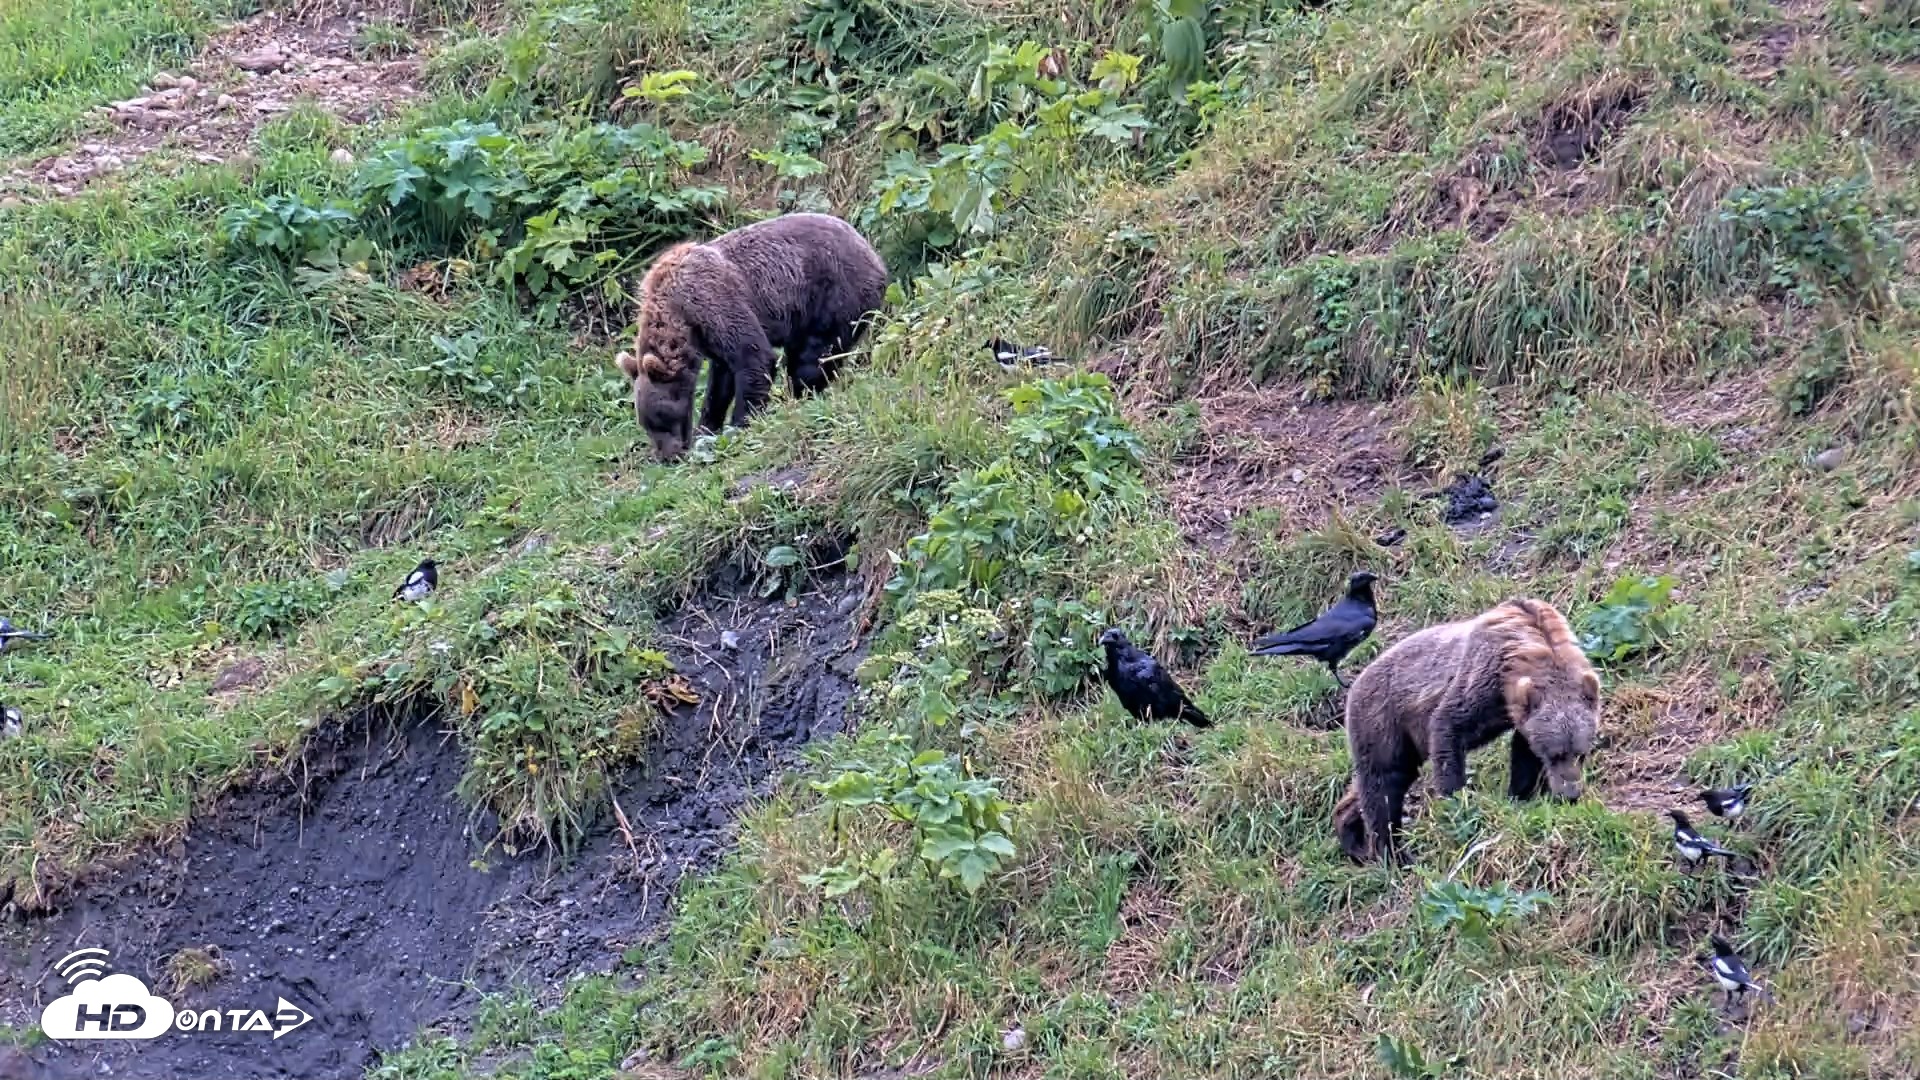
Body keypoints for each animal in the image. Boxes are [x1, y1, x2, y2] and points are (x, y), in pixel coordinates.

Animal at [614, 212, 887, 461]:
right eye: (647, 424)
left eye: (662, 417)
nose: (668, 456)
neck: (680, 317)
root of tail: (870, 250)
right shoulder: (709, 339)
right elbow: (720, 382)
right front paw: (707, 428)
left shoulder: (713, 302)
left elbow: (753, 358)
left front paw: (741, 424)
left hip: (834, 296)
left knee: (813, 358)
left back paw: (801, 396)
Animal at [1332, 597, 1600, 863]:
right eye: (1555, 755)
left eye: (1581, 753)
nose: (1571, 795)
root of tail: (1357, 681)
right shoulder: (1481, 681)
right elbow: (1448, 729)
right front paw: (1458, 805)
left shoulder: (1520, 715)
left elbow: (1524, 754)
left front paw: (1522, 796)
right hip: (1383, 718)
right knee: (1383, 782)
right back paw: (1392, 853)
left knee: (1385, 779)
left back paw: (1350, 833)